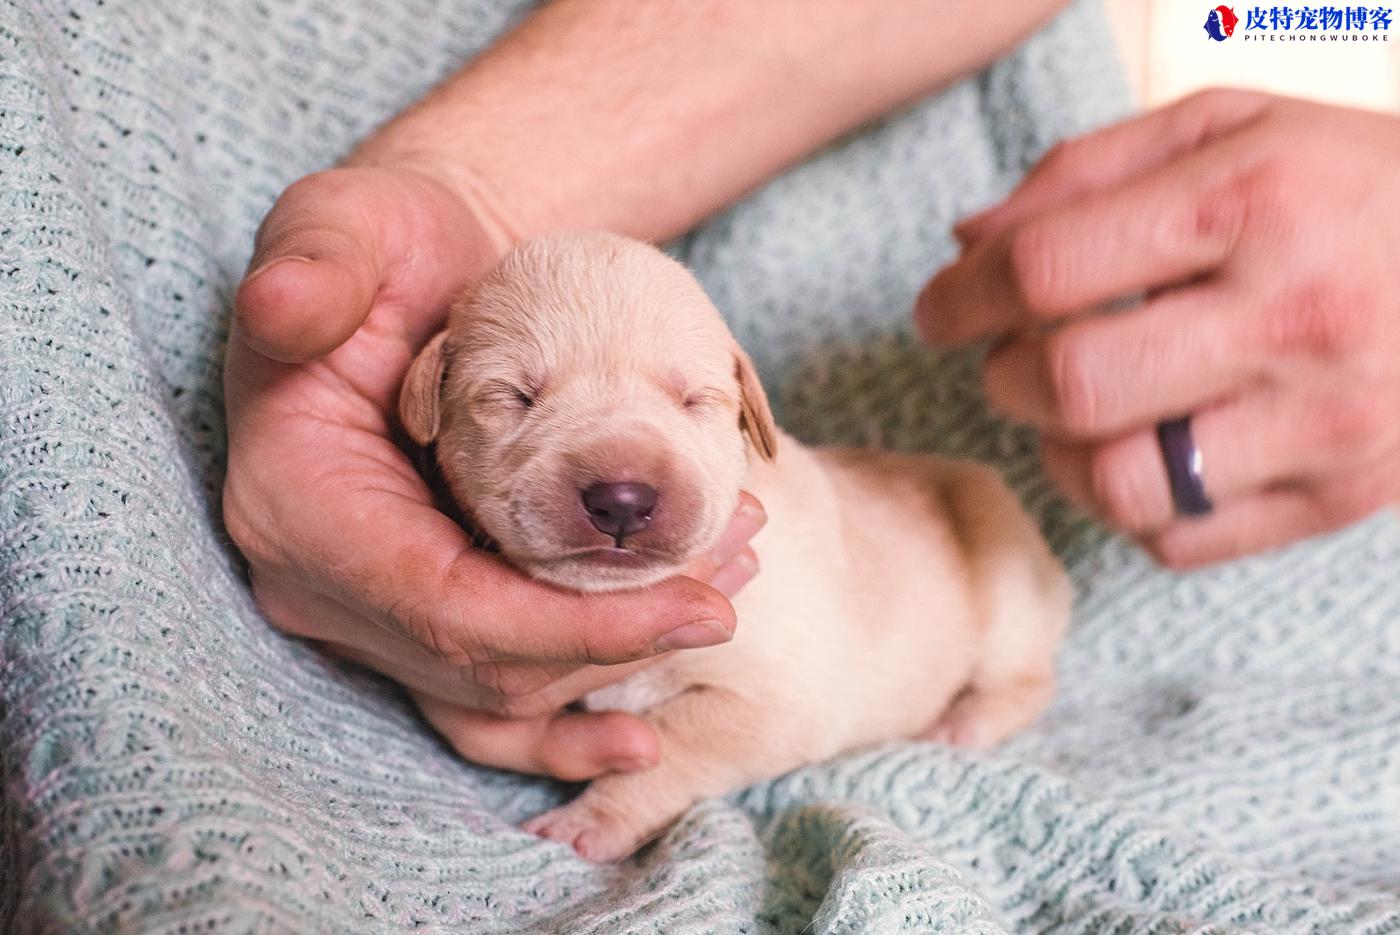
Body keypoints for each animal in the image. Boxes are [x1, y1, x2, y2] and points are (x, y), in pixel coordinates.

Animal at [400, 232, 1064, 862]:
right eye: (514, 395)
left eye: (695, 399)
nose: (621, 499)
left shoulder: (778, 698)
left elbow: (673, 745)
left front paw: (591, 820)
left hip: (1004, 571)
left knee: (1028, 679)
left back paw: (963, 724)